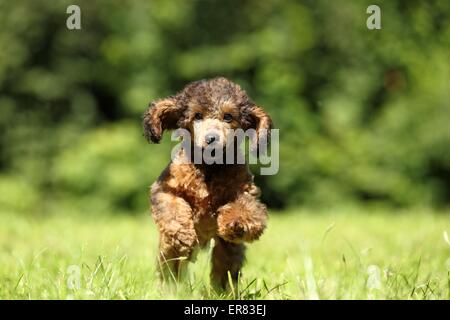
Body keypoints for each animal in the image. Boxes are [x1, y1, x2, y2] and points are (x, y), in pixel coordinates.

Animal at [142, 77, 272, 288]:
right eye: (197, 116)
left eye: (228, 117)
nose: (212, 138)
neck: (209, 168)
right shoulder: (164, 188)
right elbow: (172, 208)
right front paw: (182, 234)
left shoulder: (244, 190)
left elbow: (246, 207)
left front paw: (238, 223)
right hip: (168, 253)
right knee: (170, 265)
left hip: (228, 251)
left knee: (224, 268)